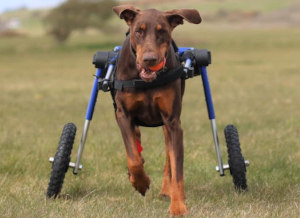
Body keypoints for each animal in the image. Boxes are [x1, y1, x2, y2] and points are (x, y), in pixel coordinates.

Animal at [112, 5, 202, 215]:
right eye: (139, 31)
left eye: (163, 32)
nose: (150, 59)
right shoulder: (123, 115)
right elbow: (133, 158)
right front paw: (141, 182)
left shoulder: (173, 121)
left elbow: (177, 168)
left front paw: (178, 206)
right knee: (136, 142)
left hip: (167, 127)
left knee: (169, 158)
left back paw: (166, 190)